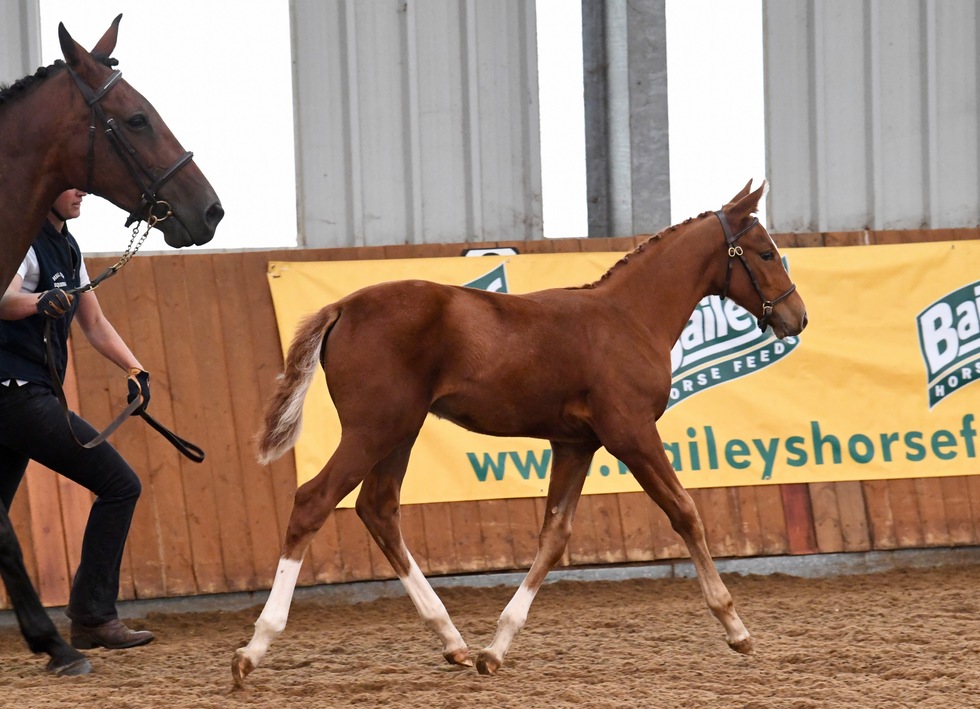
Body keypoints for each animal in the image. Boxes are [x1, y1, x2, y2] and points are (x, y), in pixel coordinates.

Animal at [232, 180, 807, 686]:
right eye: (764, 253)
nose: (797, 318)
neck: (627, 318)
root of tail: (343, 306)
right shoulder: (631, 434)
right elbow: (685, 512)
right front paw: (736, 628)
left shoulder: (576, 444)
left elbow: (554, 537)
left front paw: (495, 649)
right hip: (374, 429)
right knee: (314, 501)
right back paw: (255, 647)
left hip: (400, 432)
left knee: (379, 509)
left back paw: (454, 641)